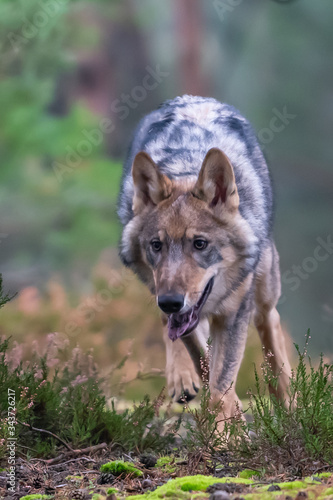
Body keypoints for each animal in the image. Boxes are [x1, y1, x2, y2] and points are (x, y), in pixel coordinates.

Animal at [116, 94, 290, 418]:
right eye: (156, 245)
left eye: (199, 244)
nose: (171, 301)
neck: (187, 169)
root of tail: (195, 98)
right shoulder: (175, 306)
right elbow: (206, 364)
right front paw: (230, 416)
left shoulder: (234, 315)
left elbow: (221, 381)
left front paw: (228, 424)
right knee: (173, 330)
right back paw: (181, 379)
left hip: (262, 290)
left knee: (270, 323)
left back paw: (290, 402)